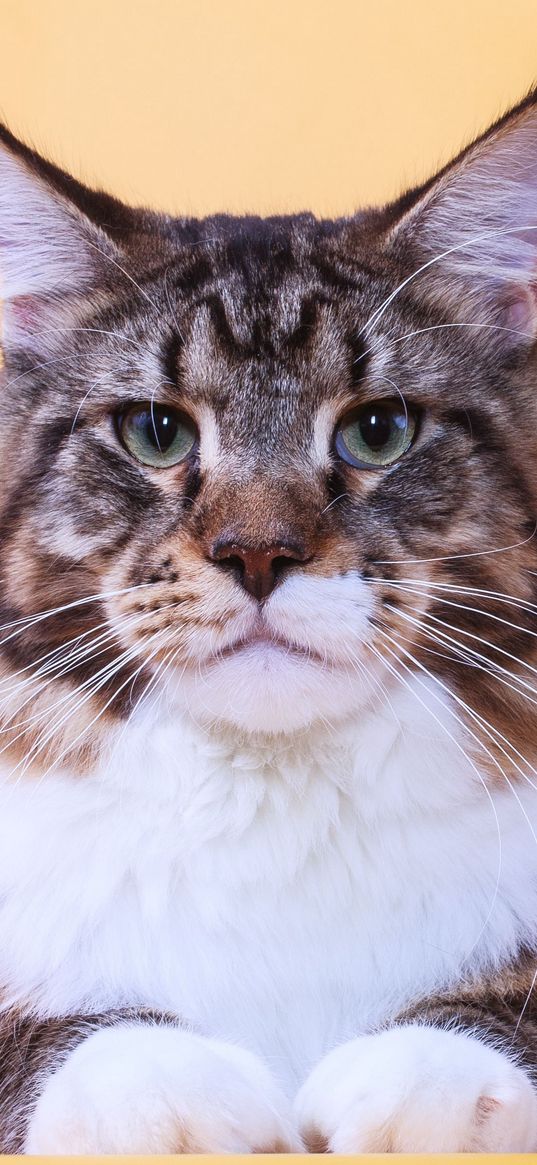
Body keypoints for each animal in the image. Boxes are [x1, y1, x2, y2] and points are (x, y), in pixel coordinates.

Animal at [0, 88, 535, 1146]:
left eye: (379, 430)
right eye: (155, 432)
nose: (258, 555)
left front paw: (428, 1071)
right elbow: (79, 1035)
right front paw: (157, 1079)